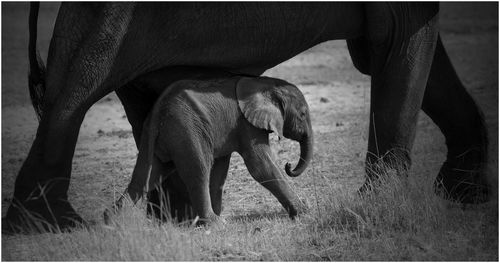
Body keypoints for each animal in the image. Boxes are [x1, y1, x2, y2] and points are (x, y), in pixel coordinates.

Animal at [112, 73, 312, 225]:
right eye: (302, 114)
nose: (289, 165)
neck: (265, 83)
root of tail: (158, 110)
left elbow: (220, 172)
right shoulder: (246, 125)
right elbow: (260, 166)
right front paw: (303, 212)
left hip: (152, 134)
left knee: (145, 175)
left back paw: (115, 223)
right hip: (186, 130)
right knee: (198, 171)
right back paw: (215, 223)